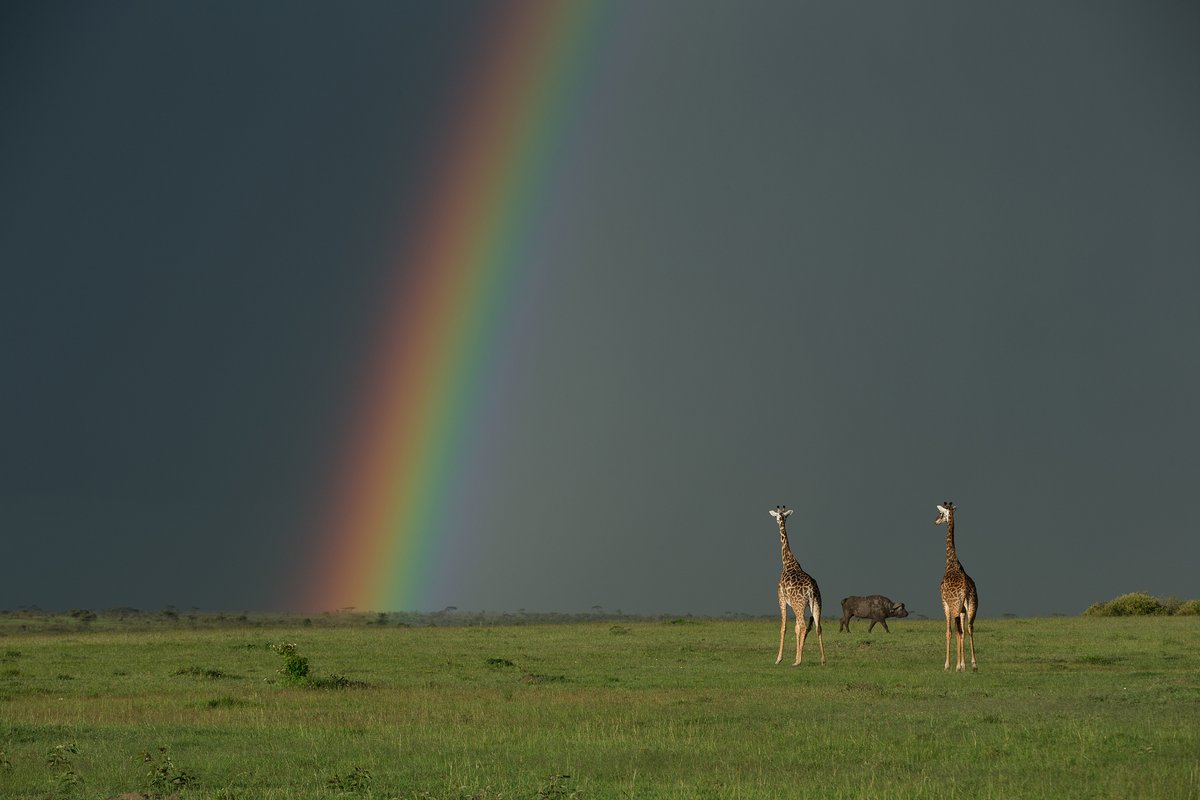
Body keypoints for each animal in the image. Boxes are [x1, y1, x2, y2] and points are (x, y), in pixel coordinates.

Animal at [770, 505, 826, 666]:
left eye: (778, 517)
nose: (778, 521)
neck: (788, 561)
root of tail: (811, 590)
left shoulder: (781, 599)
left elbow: (784, 627)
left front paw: (779, 659)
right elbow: (795, 628)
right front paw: (795, 656)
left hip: (798, 604)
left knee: (802, 625)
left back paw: (799, 662)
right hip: (817, 603)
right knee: (817, 626)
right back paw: (823, 659)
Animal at [935, 501, 978, 672]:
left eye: (941, 514)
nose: (935, 521)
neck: (951, 563)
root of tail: (966, 589)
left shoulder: (945, 604)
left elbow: (949, 632)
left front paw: (948, 665)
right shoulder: (962, 609)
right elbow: (963, 632)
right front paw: (963, 663)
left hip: (954, 607)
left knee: (958, 630)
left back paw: (959, 666)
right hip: (972, 606)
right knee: (969, 628)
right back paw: (973, 664)